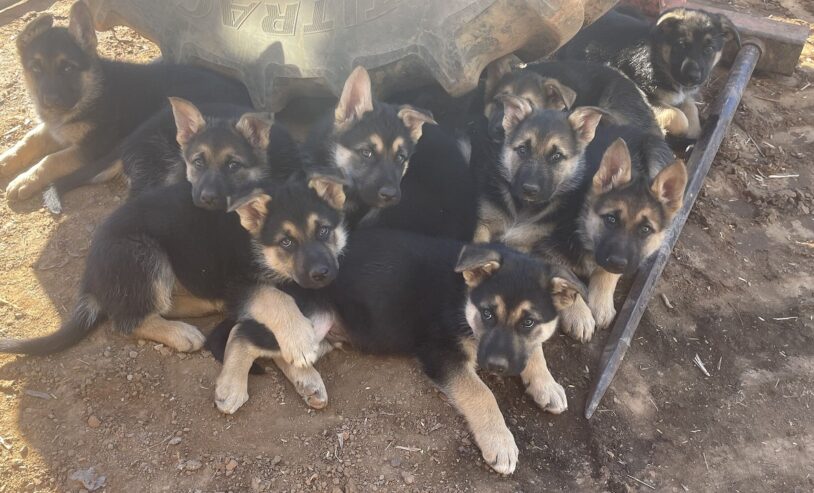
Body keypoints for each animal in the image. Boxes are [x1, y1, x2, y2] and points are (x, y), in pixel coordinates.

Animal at [0, 0, 250, 202]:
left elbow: (51, 159)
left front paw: (26, 179)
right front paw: (5, 161)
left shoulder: (91, 148)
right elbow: (29, 140)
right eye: (35, 69)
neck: (93, 90)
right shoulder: (56, 129)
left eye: (68, 68)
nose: (50, 100)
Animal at [209, 229, 588, 474]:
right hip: (312, 318)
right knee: (245, 333)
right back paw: (230, 388)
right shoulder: (441, 353)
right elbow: (482, 394)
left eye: (528, 322)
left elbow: (535, 350)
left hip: (324, 330)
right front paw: (500, 442)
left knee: (287, 354)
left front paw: (546, 384)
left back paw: (309, 384)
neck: (464, 294)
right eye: (487, 314)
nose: (495, 365)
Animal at [560, 7, 740, 138]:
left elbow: (691, 108)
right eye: (681, 45)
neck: (657, 59)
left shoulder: (685, 94)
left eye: (709, 50)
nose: (693, 78)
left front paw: (694, 131)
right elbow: (678, 117)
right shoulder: (645, 95)